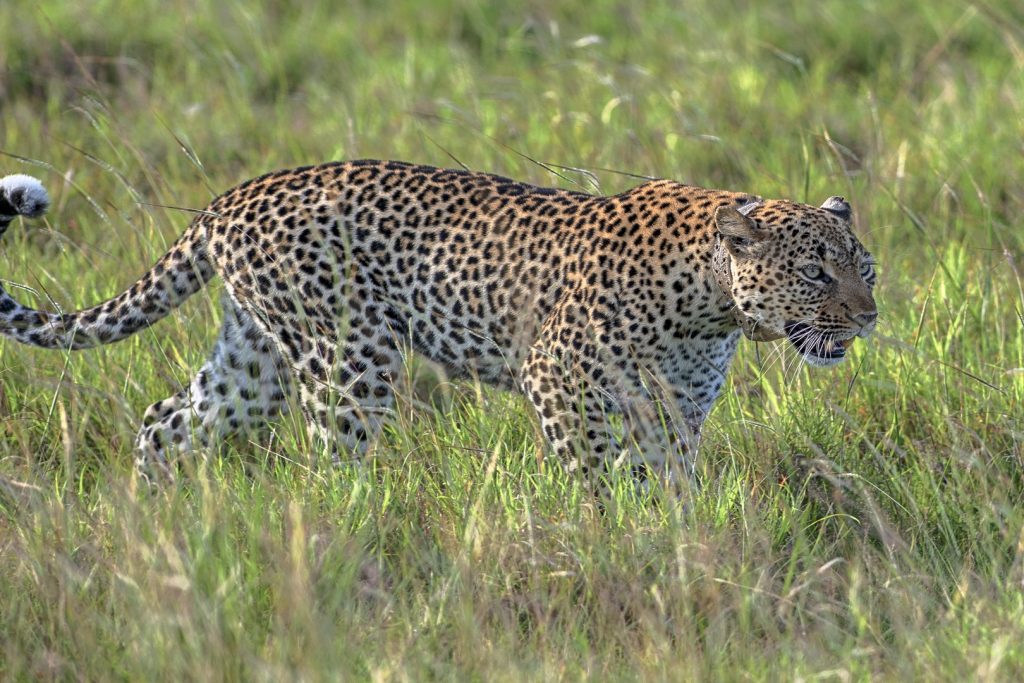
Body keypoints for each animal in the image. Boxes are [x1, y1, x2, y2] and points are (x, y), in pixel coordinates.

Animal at [2, 161, 880, 485]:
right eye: (816, 272)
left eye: (863, 268)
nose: (868, 316)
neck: (710, 303)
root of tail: (231, 196)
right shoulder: (557, 382)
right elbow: (600, 477)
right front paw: (613, 536)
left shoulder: (675, 410)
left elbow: (673, 484)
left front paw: (679, 548)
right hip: (347, 358)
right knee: (331, 460)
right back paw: (348, 529)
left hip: (254, 362)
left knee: (166, 420)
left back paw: (159, 515)